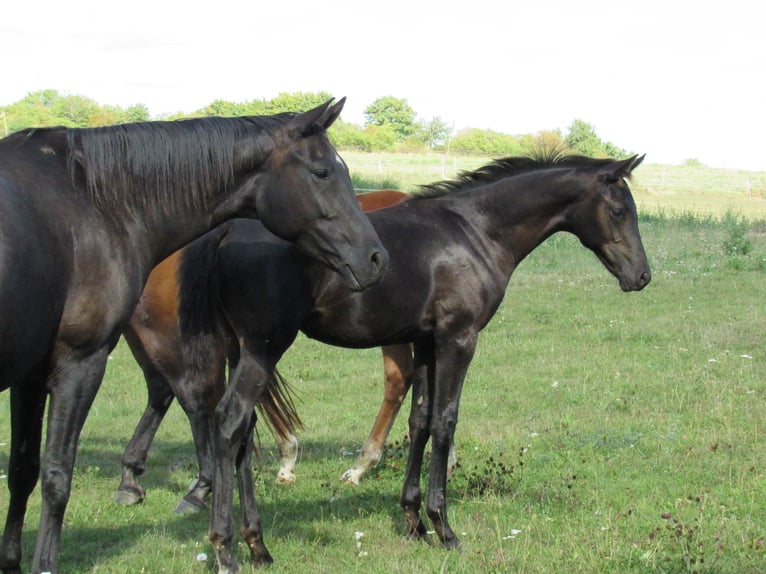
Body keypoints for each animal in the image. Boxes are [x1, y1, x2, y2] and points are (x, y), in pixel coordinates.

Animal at [115, 189, 410, 512]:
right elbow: (167, 392)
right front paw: (131, 476)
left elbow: (195, 397)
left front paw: (203, 485)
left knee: (399, 382)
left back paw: (363, 466)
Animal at [174, 152, 651, 572]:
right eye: (618, 210)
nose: (642, 276)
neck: (476, 231)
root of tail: (225, 232)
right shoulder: (458, 339)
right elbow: (444, 420)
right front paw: (443, 527)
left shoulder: (424, 342)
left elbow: (419, 419)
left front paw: (412, 521)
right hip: (264, 348)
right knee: (230, 421)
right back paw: (226, 549)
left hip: (241, 350)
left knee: (244, 428)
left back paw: (258, 546)